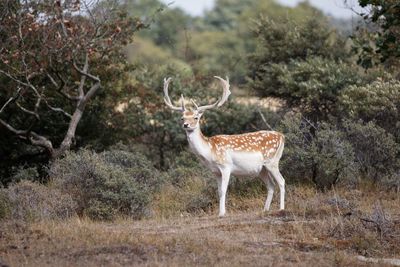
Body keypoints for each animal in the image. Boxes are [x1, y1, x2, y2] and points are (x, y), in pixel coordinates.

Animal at [164, 76, 286, 218]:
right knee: (271, 185)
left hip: (272, 161)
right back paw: (265, 210)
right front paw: (220, 211)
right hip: (261, 169)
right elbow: (218, 191)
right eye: (182, 117)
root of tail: (282, 136)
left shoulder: (226, 166)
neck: (210, 151)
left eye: (196, 117)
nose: (186, 125)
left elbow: (223, 190)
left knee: (281, 181)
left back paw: (281, 209)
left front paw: (222, 213)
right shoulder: (215, 171)